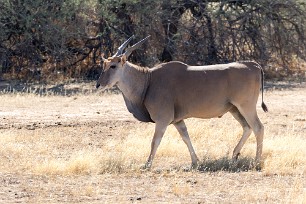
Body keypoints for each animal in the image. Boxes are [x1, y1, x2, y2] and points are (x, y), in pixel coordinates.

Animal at [96, 36, 268, 169]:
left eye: (113, 66)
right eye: (103, 65)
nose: (98, 84)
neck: (148, 80)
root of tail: (253, 65)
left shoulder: (163, 120)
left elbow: (155, 141)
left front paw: (147, 164)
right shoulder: (178, 121)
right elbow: (186, 137)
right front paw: (195, 162)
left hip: (246, 106)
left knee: (258, 127)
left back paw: (256, 162)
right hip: (234, 109)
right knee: (247, 127)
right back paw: (234, 156)